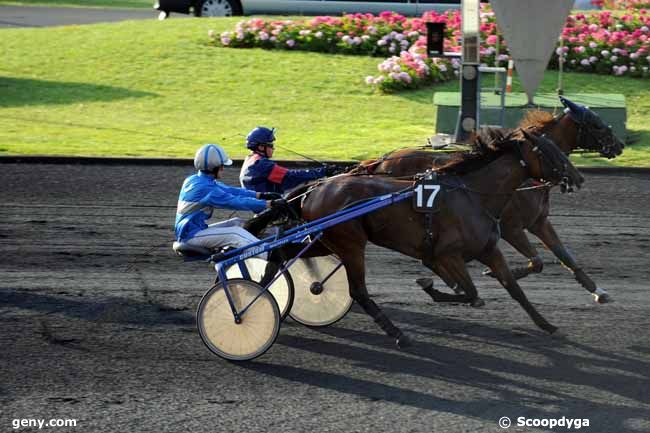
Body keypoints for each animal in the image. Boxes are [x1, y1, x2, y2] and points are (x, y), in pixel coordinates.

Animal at [294, 127, 584, 344]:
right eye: (549, 152)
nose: (578, 177)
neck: (473, 196)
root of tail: (315, 190)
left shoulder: (488, 249)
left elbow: (514, 288)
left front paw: (546, 324)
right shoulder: (448, 253)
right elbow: (471, 293)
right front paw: (430, 287)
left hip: (327, 241)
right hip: (351, 244)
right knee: (358, 291)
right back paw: (397, 333)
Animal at [350, 96, 624, 302]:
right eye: (596, 123)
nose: (619, 145)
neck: (521, 172)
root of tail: (380, 162)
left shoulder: (538, 222)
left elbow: (565, 256)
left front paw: (598, 291)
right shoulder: (512, 227)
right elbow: (536, 261)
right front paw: (494, 273)